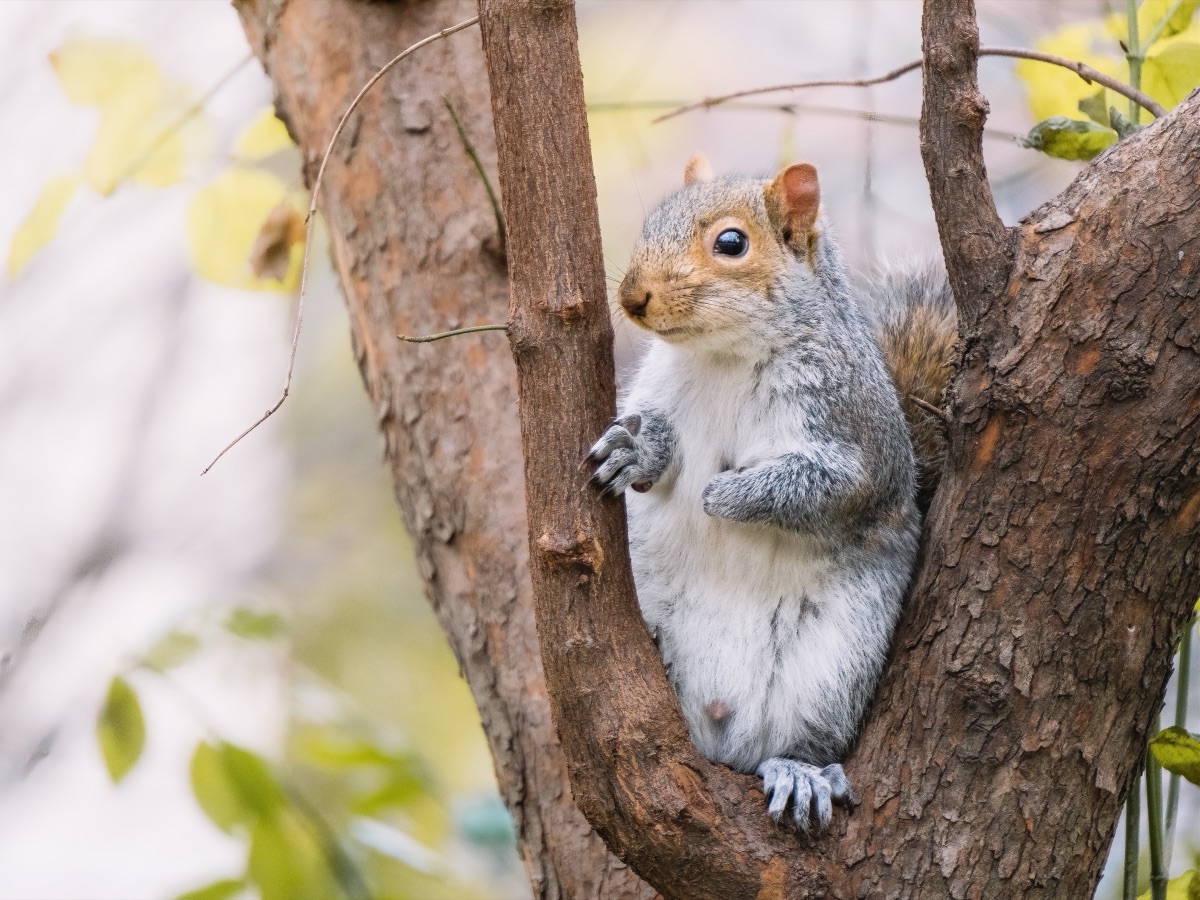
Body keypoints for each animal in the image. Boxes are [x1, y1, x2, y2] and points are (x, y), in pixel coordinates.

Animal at [588, 154, 956, 832]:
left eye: (731, 244)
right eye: (652, 221)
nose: (630, 298)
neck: (724, 355)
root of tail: (720, 731)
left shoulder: (860, 443)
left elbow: (821, 489)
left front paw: (725, 495)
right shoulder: (657, 391)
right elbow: (656, 456)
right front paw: (635, 452)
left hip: (832, 669)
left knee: (805, 737)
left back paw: (797, 771)